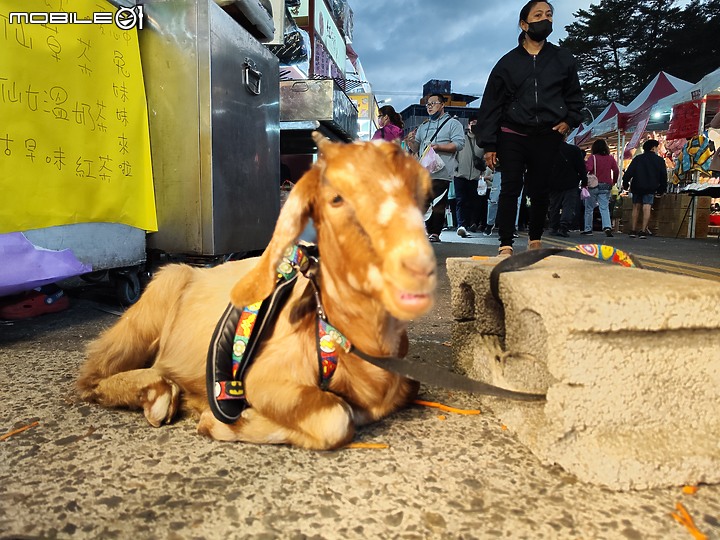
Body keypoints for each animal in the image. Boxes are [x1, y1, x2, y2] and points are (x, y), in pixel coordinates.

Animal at [79, 133, 438, 450]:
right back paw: (157, 394)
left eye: (422, 193)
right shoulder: (264, 378)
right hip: (147, 312)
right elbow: (335, 417)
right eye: (336, 197)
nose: (418, 269)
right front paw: (219, 422)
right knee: (91, 377)